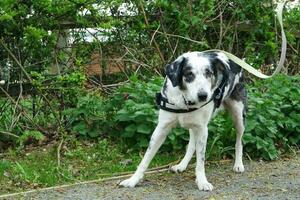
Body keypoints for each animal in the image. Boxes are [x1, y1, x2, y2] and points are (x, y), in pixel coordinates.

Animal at [119, 50, 246, 191]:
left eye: (208, 73)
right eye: (189, 74)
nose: (203, 96)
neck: (185, 101)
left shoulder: (202, 130)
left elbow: (201, 161)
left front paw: (202, 182)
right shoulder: (161, 129)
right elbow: (146, 158)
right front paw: (133, 180)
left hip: (239, 116)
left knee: (239, 141)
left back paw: (238, 164)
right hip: (193, 125)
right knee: (191, 144)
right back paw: (182, 165)